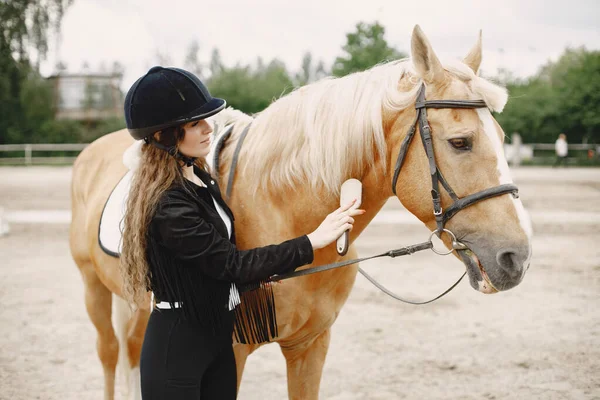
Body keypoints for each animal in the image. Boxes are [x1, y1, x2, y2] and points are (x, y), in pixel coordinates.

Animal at [68, 25, 532, 400]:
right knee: (110, 354)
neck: (279, 209)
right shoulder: (231, 353)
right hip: (92, 289)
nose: (517, 258)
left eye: (502, 137)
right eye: (460, 142)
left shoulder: (311, 345)